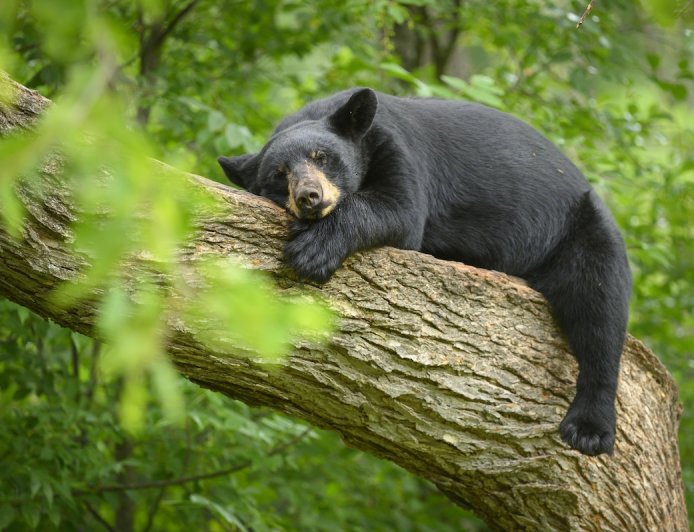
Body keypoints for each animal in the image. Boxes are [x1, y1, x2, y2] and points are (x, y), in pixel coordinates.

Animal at [218, 88, 632, 457]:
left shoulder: (398, 150)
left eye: (322, 156)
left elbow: (399, 209)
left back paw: (589, 428)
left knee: (600, 306)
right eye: (279, 173)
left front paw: (313, 250)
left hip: (580, 229)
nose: (309, 197)